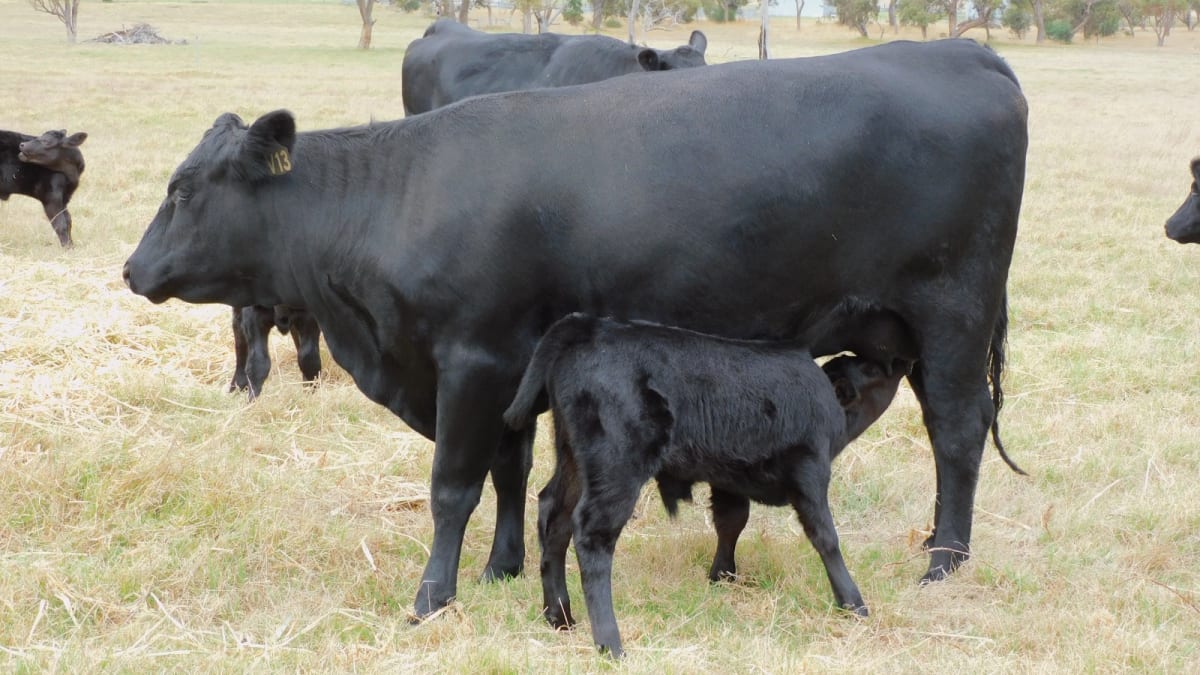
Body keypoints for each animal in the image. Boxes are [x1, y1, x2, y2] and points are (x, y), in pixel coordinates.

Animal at [123, 39, 1029, 621]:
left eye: (182, 189)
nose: (132, 268)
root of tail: (965, 54)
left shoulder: (474, 359)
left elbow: (455, 485)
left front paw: (433, 596)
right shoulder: (515, 369)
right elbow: (512, 473)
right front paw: (503, 567)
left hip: (952, 318)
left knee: (957, 433)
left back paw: (944, 561)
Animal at [502, 314, 870, 657]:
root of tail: (587, 325)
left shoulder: (730, 478)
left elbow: (731, 520)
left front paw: (721, 576)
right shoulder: (810, 467)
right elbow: (825, 536)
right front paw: (853, 602)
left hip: (574, 457)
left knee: (554, 515)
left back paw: (559, 616)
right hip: (616, 464)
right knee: (592, 534)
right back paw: (610, 643)